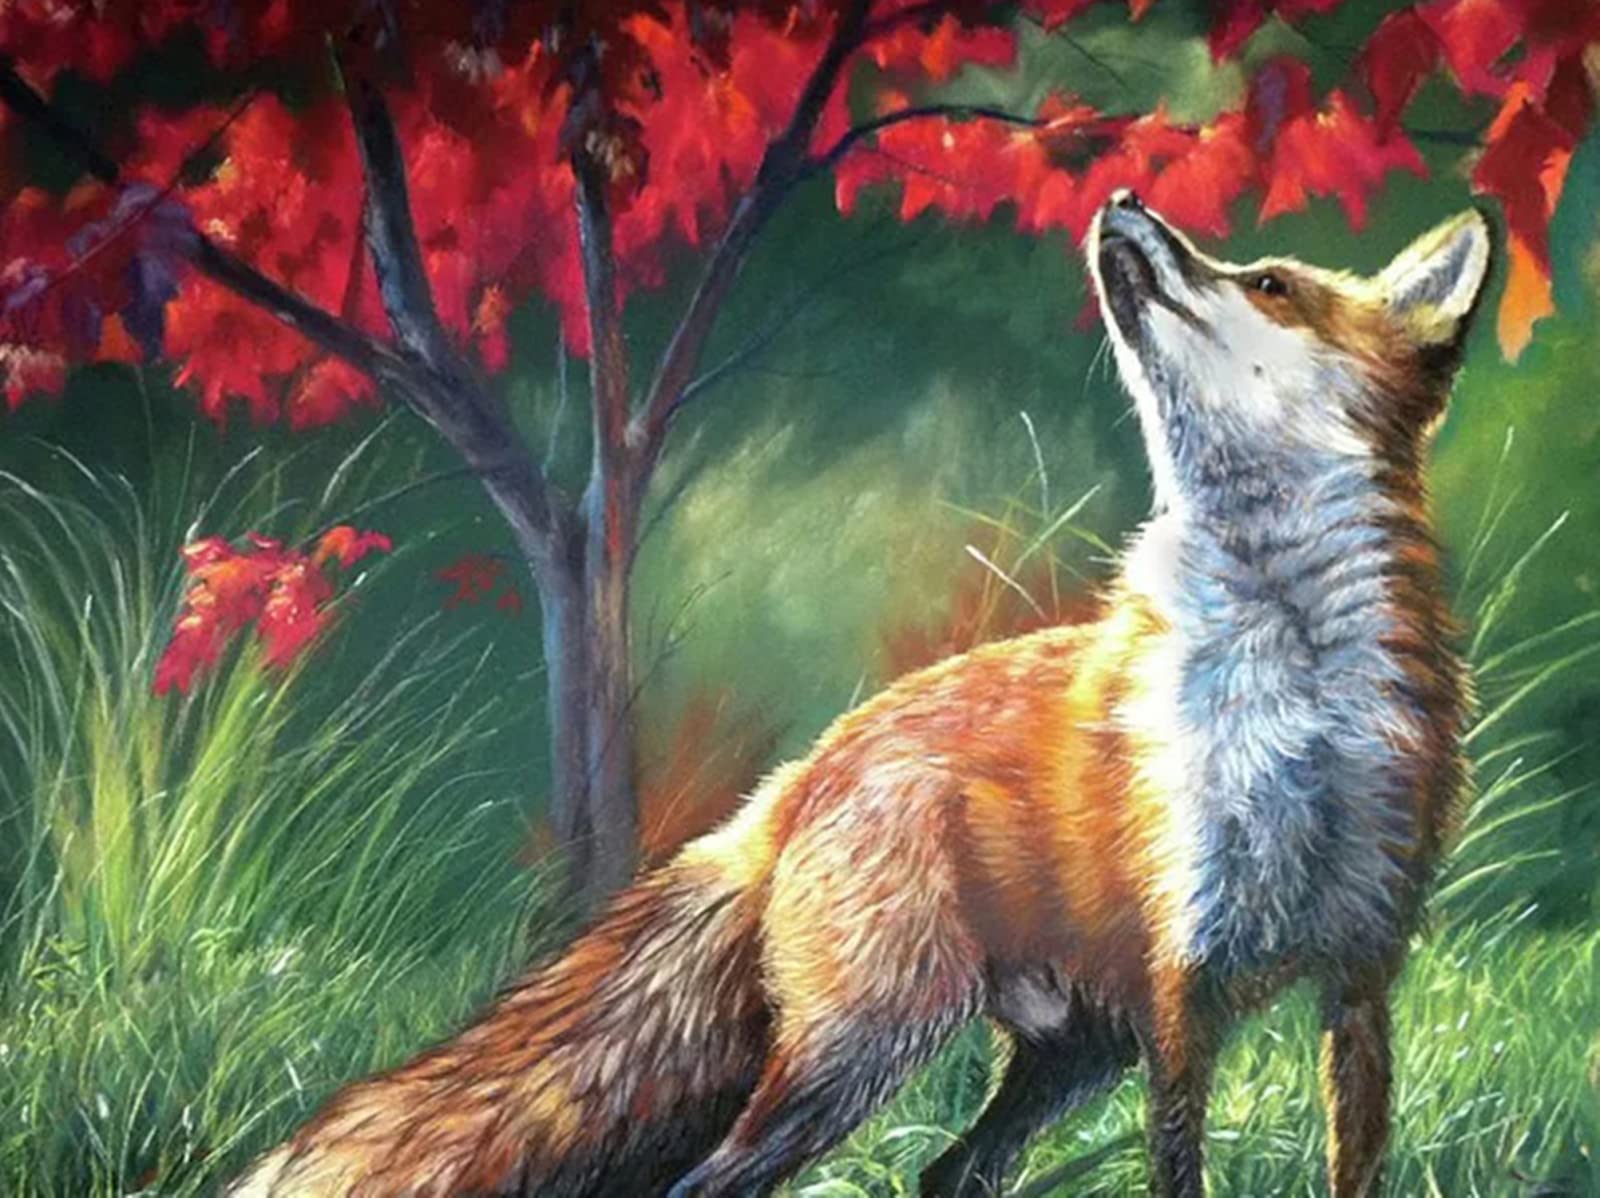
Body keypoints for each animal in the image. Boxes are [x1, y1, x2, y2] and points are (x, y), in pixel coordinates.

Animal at [228, 191, 1491, 1198]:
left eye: (1269, 283)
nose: (1124, 198)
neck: (1294, 701)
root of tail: (802, 773)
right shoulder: (1187, 986)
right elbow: (1178, 1171)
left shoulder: (1361, 973)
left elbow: (1357, 1165)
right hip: (868, 1047)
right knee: (710, 1183)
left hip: (1066, 1053)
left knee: (950, 1173)